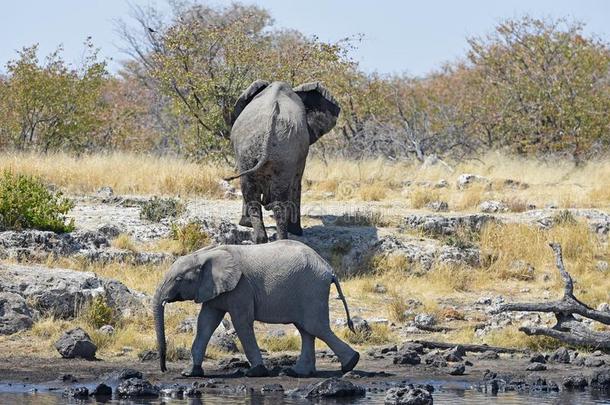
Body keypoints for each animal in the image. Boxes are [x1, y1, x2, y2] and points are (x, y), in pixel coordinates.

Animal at [152, 240, 358, 376]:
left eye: (179, 279)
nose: (164, 369)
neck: (206, 254)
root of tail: (329, 269)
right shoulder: (214, 289)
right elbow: (205, 323)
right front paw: (190, 373)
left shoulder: (241, 287)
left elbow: (241, 322)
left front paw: (255, 372)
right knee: (306, 329)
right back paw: (297, 372)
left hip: (312, 288)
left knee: (315, 326)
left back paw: (350, 364)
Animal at [224, 80, 340, 241]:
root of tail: (270, 121)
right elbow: (296, 184)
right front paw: (297, 231)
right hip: (260, 148)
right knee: (272, 195)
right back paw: (275, 239)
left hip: (264, 148)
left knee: (254, 192)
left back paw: (265, 240)